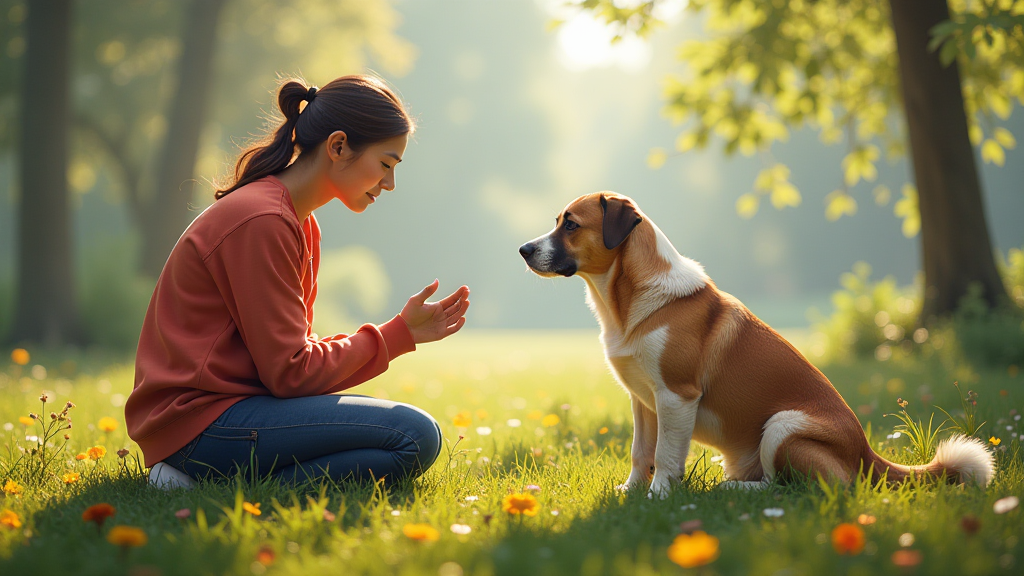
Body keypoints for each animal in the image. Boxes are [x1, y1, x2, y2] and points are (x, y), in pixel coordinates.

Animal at [520, 191, 991, 494]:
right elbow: (641, 453)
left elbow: (667, 458)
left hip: (783, 426)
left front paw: (658, 499)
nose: (523, 249)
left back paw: (732, 494)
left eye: (571, 224)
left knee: (797, 488)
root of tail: (867, 454)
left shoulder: (675, 397)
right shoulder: (643, 400)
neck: (631, 301)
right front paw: (631, 494)